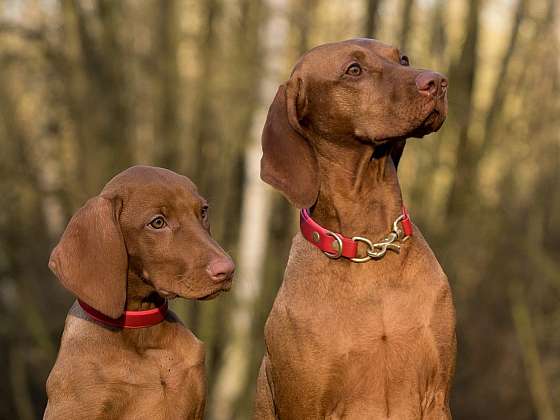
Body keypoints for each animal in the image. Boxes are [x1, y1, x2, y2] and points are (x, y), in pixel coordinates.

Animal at [256, 39, 458, 420]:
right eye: (354, 70)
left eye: (403, 59)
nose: (438, 82)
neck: (370, 244)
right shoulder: (305, 404)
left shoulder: (436, 395)